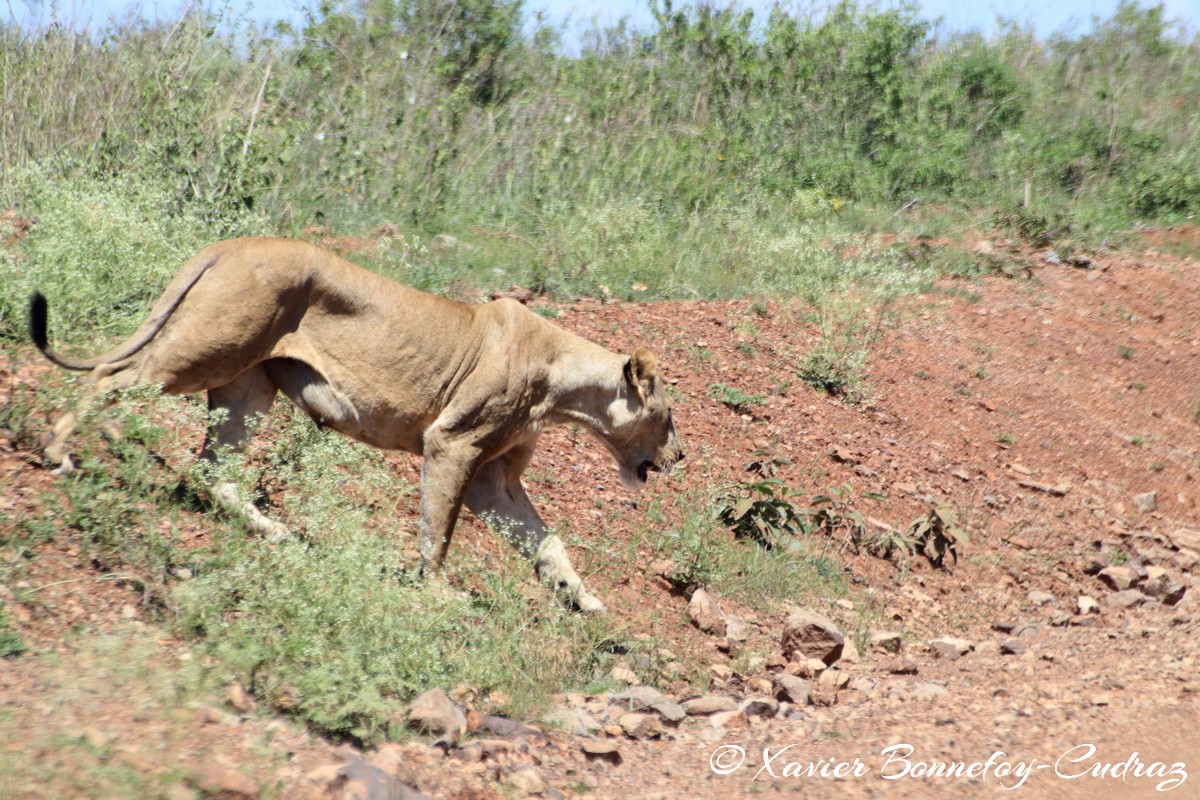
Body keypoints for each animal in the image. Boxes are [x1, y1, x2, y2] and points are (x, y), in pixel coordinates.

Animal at [30, 236, 683, 612]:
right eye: (669, 417)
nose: (681, 458)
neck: (564, 388)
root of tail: (229, 244)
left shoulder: (494, 478)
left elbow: (546, 541)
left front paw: (581, 596)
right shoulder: (453, 443)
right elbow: (439, 528)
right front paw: (436, 591)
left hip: (248, 385)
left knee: (216, 471)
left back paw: (278, 534)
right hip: (211, 347)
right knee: (111, 376)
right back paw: (58, 448)